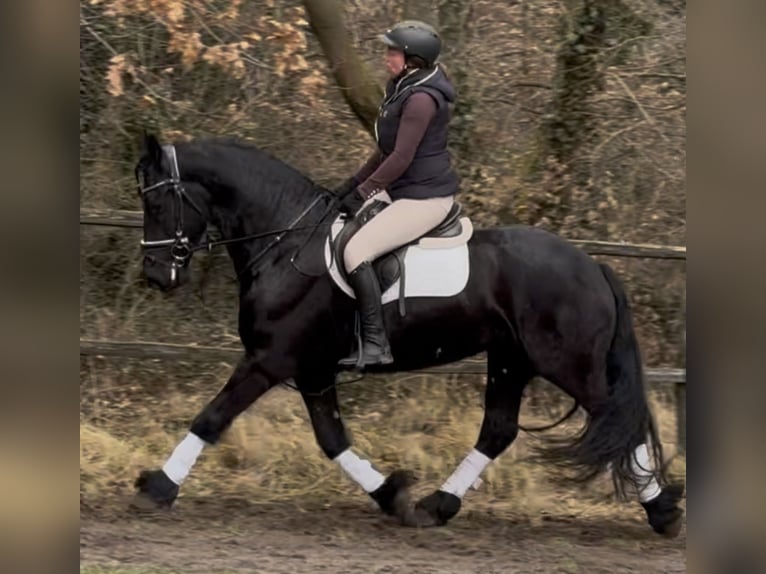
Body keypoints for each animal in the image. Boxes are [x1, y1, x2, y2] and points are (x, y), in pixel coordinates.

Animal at [130, 135, 684, 540]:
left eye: (157, 201)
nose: (156, 275)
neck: (285, 242)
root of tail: (593, 266)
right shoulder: (312, 370)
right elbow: (333, 440)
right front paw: (391, 495)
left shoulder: (270, 360)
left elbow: (211, 418)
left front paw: (157, 486)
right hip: (511, 360)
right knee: (498, 430)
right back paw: (437, 505)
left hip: (567, 364)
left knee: (618, 423)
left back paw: (663, 513)